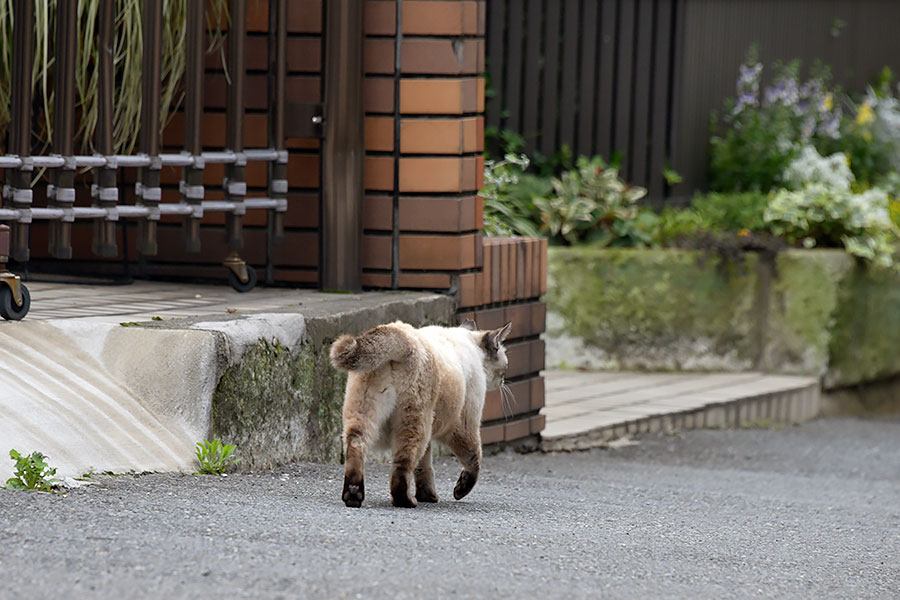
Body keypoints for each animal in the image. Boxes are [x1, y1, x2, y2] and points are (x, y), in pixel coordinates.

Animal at [330, 316, 512, 508]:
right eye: (505, 367)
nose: (503, 381)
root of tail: (400, 335)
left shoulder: (432, 436)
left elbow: (423, 467)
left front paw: (428, 496)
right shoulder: (463, 425)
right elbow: (474, 460)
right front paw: (458, 491)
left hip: (363, 413)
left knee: (356, 445)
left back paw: (353, 495)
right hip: (416, 424)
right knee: (403, 463)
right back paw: (406, 501)